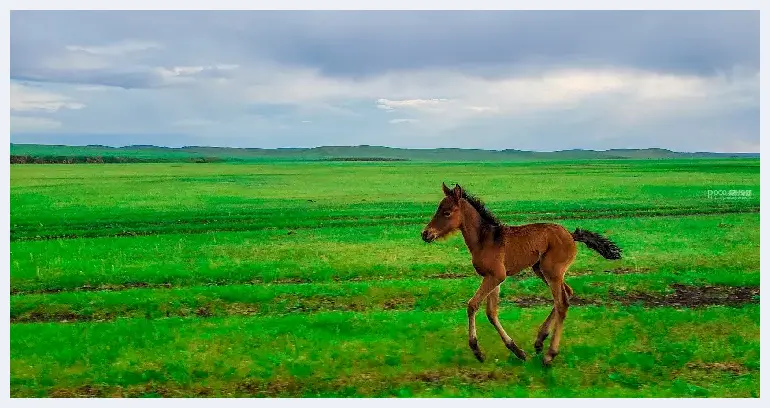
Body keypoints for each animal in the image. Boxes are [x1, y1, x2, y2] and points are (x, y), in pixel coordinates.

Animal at [420, 183, 616, 364]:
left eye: (446, 212)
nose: (425, 234)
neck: (485, 240)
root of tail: (571, 234)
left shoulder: (497, 276)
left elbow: (472, 305)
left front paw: (477, 351)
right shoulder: (493, 278)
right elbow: (491, 313)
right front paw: (517, 350)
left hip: (552, 271)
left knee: (562, 303)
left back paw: (549, 354)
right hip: (541, 270)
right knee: (567, 293)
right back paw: (539, 340)